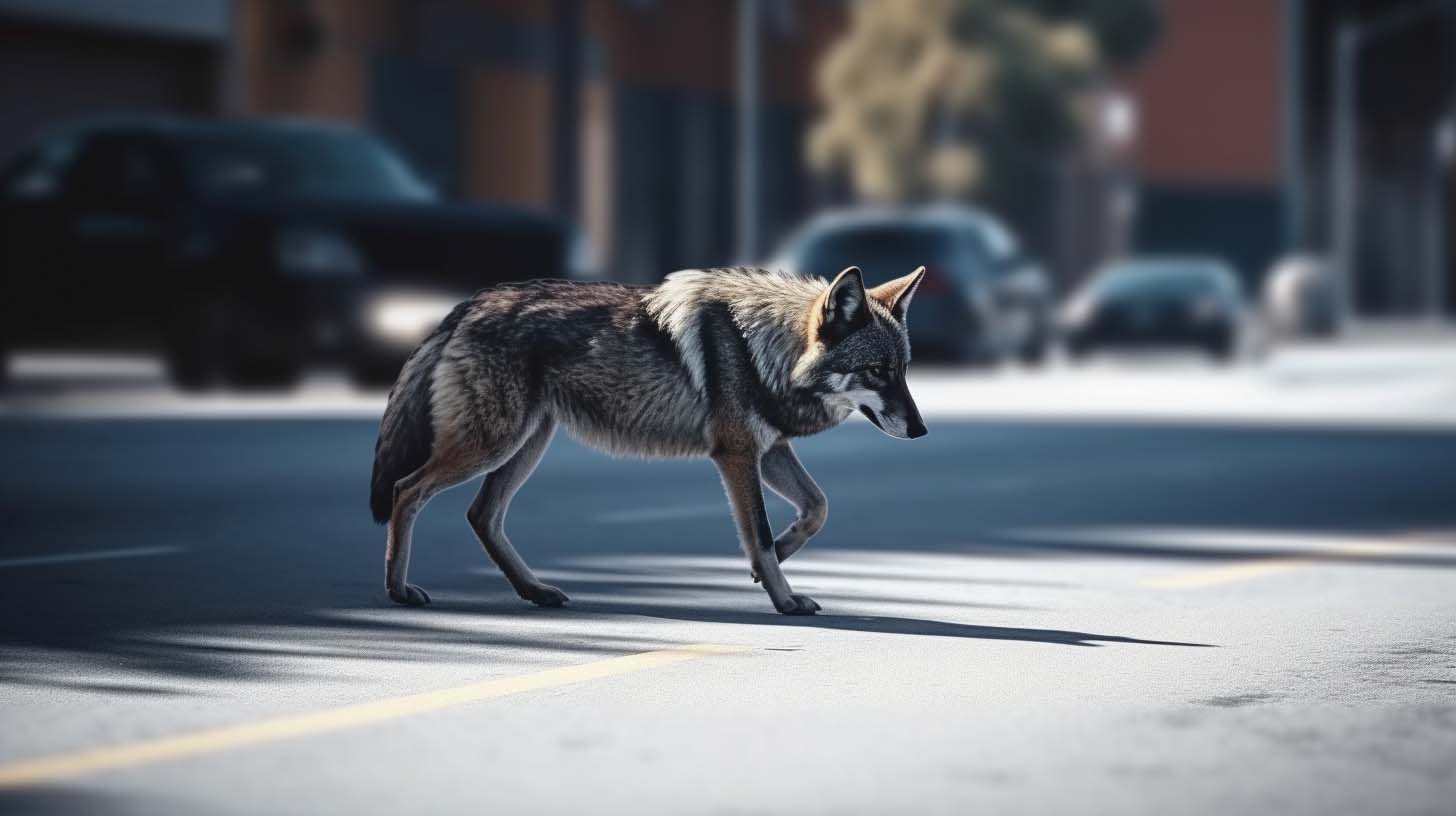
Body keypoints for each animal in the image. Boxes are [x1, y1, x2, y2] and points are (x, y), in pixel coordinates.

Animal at [369, 265, 927, 615]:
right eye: (877, 371)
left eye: (902, 371)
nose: (922, 430)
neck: (764, 350)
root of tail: (469, 304)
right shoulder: (737, 455)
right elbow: (762, 535)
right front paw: (784, 600)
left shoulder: (769, 451)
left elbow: (816, 509)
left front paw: (770, 568)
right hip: (492, 445)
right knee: (405, 491)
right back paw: (397, 590)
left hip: (525, 445)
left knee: (480, 515)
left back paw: (535, 590)